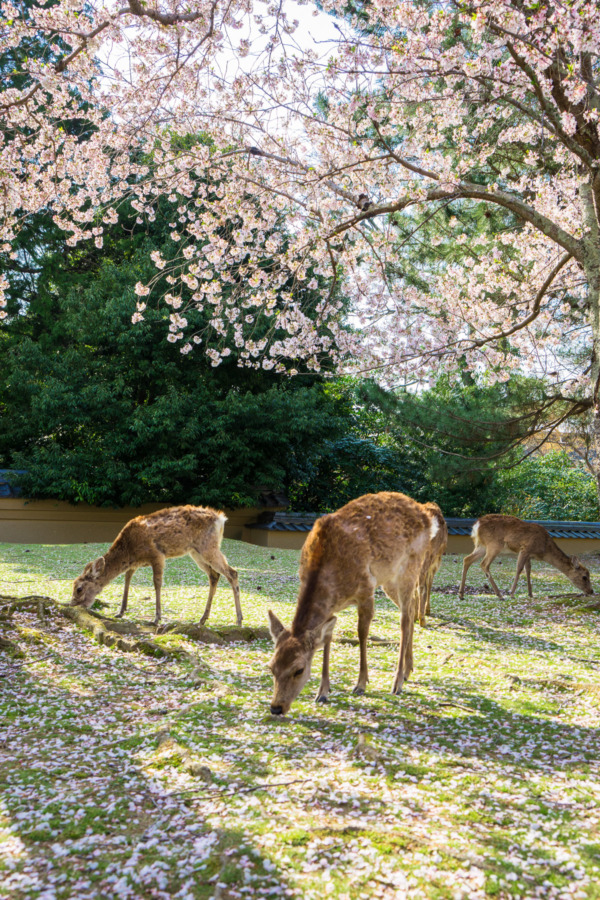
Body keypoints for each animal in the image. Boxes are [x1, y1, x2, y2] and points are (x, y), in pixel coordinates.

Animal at [74, 506, 243, 624]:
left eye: (79, 589)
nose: (73, 604)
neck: (129, 551)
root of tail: (221, 519)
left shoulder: (157, 555)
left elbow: (157, 583)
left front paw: (157, 618)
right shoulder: (135, 563)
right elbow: (127, 579)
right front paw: (120, 612)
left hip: (208, 547)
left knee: (232, 572)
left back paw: (239, 619)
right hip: (196, 552)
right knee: (214, 575)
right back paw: (203, 618)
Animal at [268, 492, 436, 716]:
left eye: (299, 669)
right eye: (272, 667)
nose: (276, 708)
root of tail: (426, 514)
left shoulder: (366, 590)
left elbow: (362, 634)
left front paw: (361, 684)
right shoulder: (331, 607)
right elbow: (327, 638)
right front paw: (322, 692)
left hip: (410, 566)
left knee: (405, 619)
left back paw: (398, 681)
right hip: (389, 580)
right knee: (410, 609)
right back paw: (409, 669)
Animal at [460, 516, 592, 600]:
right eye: (584, 577)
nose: (591, 591)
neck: (544, 549)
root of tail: (476, 526)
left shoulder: (529, 555)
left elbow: (528, 571)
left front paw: (530, 594)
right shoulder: (525, 549)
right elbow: (519, 569)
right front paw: (512, 594)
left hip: (481, 546)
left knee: (467, 559)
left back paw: (461, 594)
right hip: (494, 545)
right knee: (484, 564)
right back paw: (500, 595)